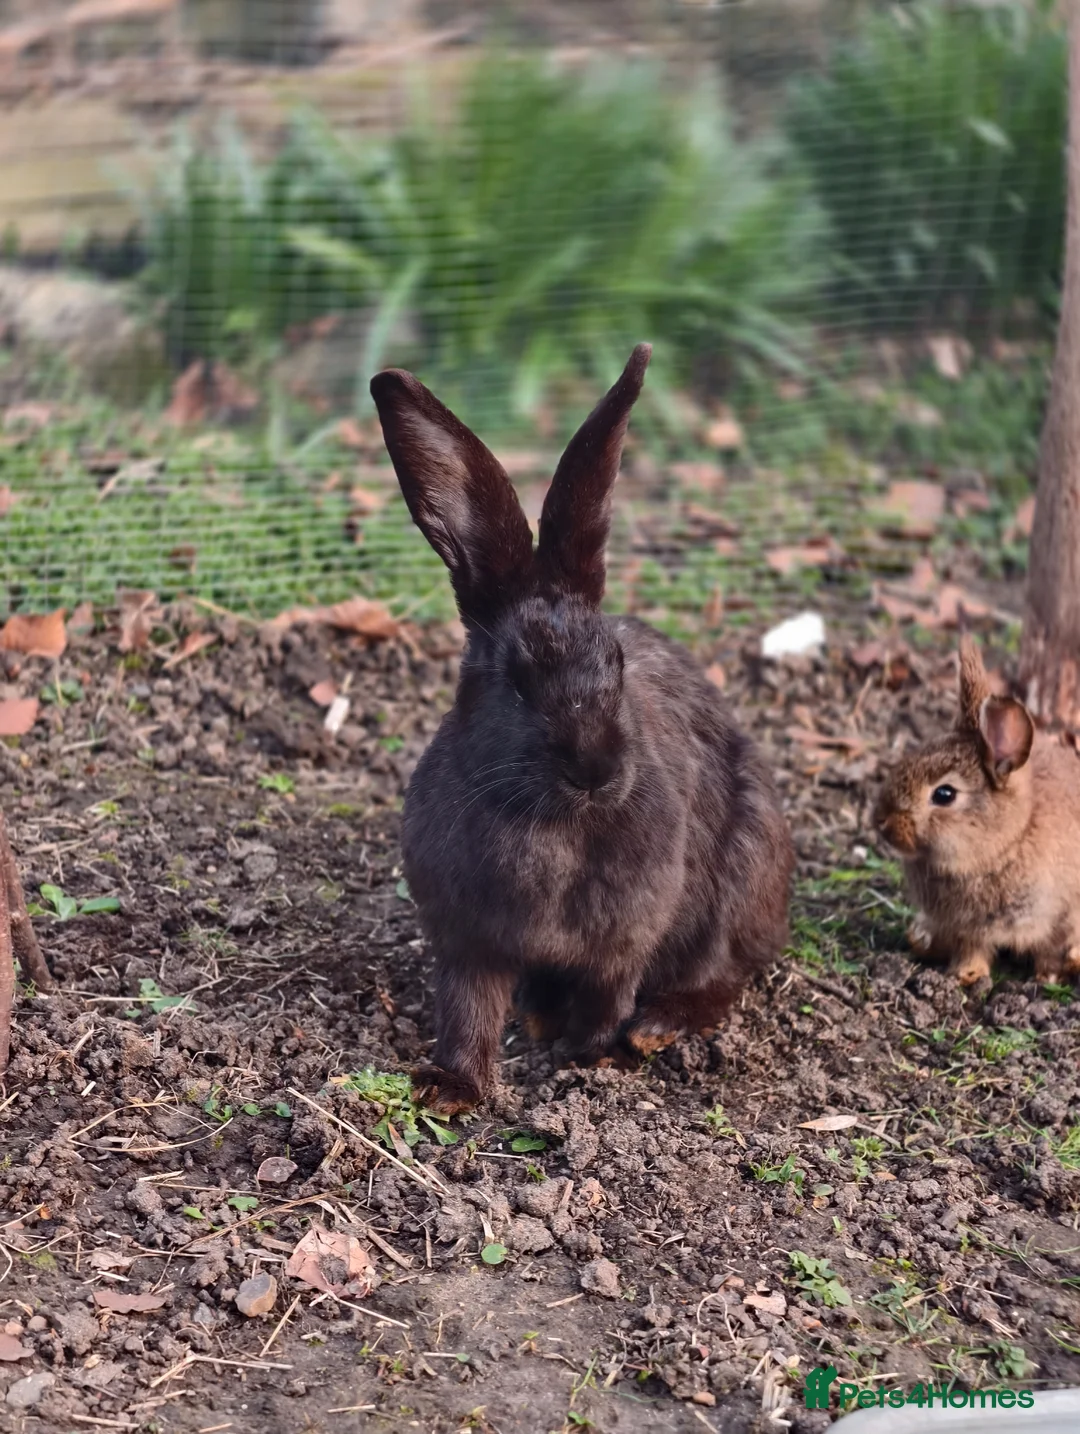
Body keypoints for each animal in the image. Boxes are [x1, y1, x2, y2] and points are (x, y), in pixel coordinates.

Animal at [369, 343, 793, 1114]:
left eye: (616, 663)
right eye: (516, 679)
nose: (594, 770)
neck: (555, 825)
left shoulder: (624, 938)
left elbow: (607, 995)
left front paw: (591, 1060)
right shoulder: (468, 942)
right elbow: (468, 1010)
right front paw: (451, 1089)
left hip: (746, 868)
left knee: (722, 973)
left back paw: (654, 1029)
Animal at [872, 634, 1080, 987]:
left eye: (944, 794)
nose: (881, 822)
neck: (1008, 842)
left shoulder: (1059, 915)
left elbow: (1051, 948)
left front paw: (1047, 976)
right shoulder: (968, 929)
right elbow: (972, 948)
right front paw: (966, 975)